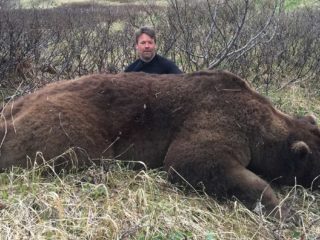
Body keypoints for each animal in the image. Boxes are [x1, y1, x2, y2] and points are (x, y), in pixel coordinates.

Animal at [0, 70, 320, 218]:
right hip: (67, 125)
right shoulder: (218, 117)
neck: (260, 122)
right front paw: (281, 209)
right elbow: (189, 161)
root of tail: (11, 109)